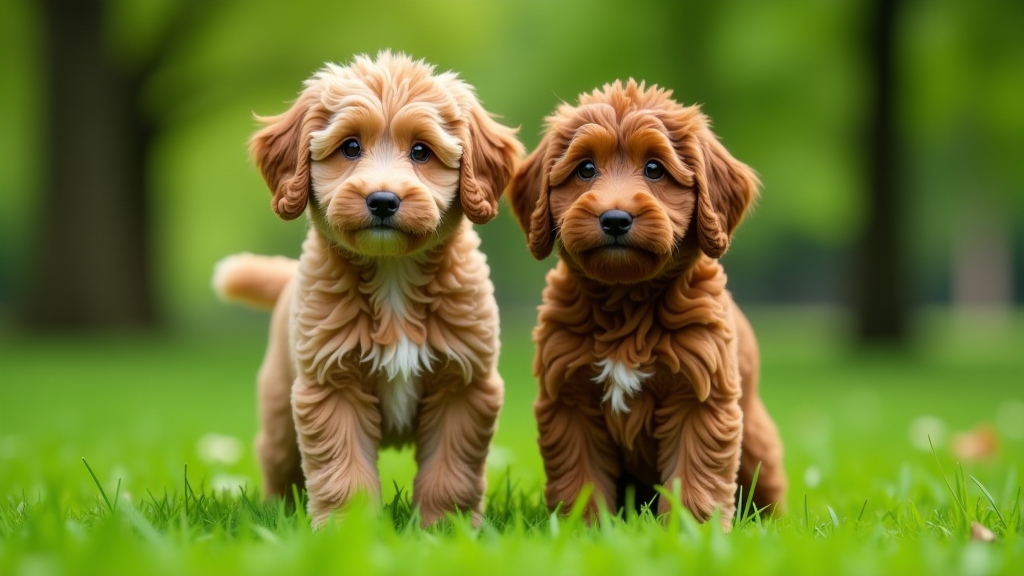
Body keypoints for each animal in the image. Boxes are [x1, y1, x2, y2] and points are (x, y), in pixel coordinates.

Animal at [212, 52, 524, 524]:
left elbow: (450, 471)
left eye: (421, 151)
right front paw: (348, 528)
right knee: (276, 457)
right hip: (280, 403)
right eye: (350, 147)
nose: (382, 200)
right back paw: (277, 513)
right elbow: (344, 471)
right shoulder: (331, 383)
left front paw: (444, 527)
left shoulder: (464, 383)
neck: (393, 272)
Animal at [507, 79, 786, 524]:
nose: (615, 219)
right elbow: (580, 476)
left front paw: (692, 530)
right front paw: (583, 528)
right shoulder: (569, 399)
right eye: (586, 169)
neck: (626, 300)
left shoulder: (700, 396)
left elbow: (695, 477)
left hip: (759, 444)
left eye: (655, 169)